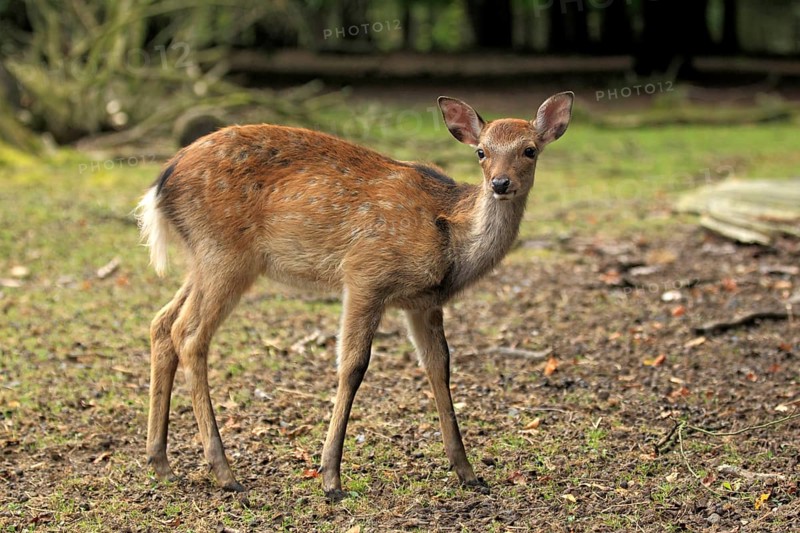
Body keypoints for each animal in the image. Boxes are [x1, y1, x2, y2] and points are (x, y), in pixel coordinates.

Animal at [136, 92, 573, 500]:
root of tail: (160, 184)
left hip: (206, 258)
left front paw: (468, 473)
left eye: (530, 150)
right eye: (481, 151)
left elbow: (440, 367)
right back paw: (224, 472)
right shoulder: (365, 273)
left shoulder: (424, 302)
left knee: (161, 323)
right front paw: (331, 478)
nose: (500, 183)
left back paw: (161, 462)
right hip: (225, 254)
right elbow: (353, 366)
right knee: (189, 334)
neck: (451, 237)